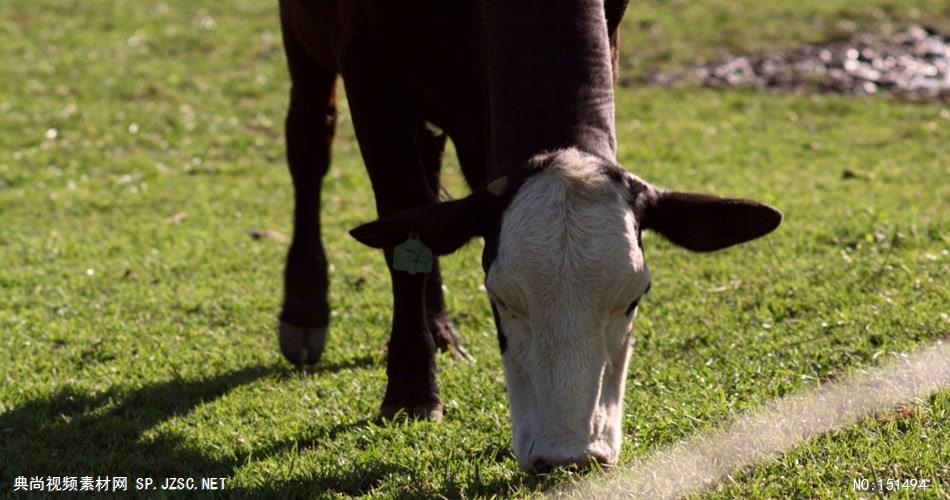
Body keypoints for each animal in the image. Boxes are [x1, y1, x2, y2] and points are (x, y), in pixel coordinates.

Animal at [276, 0, 780, 472]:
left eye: (633, 298)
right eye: (501, 299)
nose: (571, 456)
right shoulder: (368, 70)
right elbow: (401, 221)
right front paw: (411, 390)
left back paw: (439, 326)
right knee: (310, 139)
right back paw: (305, 309)